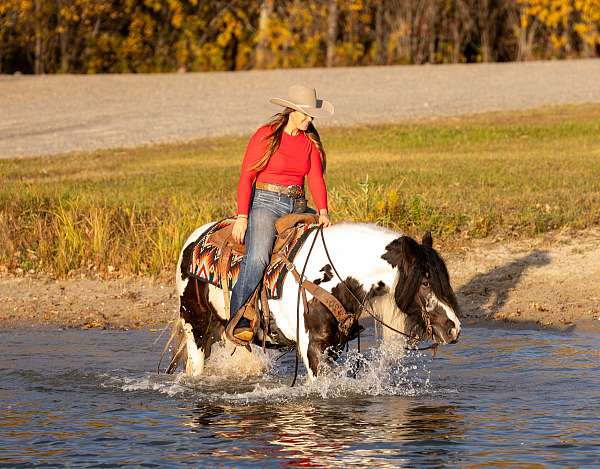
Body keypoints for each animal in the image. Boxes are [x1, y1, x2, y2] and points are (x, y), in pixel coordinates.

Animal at [171, 221, 462, 378]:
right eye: (425, 282)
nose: (455, 328)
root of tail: (194, 238)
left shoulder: (334, 347)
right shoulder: (313, 349)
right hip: (195, 326)